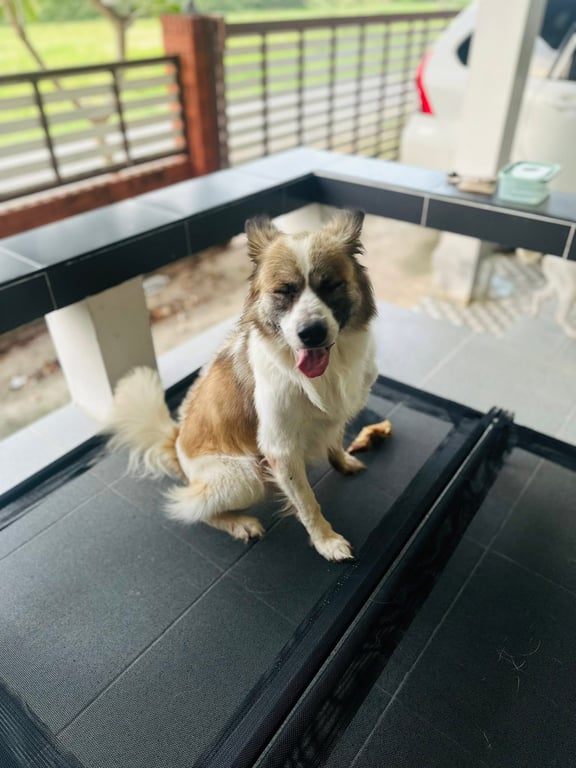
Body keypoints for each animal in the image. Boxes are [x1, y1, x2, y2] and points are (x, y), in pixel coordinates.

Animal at [106, 210, 378, 561]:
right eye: (284, 291)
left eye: (330, 285)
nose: (311, 333)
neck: (325, 372)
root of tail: (177, 446)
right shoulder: (280, 451)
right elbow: (307, 504)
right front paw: (326, 541)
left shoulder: (334, 414)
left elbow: (334, 439)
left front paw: (343, 462)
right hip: (248, 476)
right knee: (193, 510)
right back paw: (239, 523)